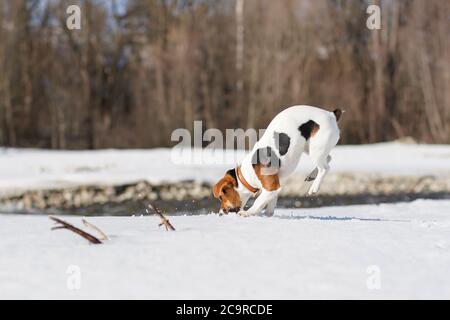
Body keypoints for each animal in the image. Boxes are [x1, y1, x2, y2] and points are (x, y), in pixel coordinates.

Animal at [211, 105, 342, 218]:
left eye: (221, 197)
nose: (220, 213)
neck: (247, 175)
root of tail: (331, 114)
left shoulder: (272, 187)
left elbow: (258, 201)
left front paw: (248, 212)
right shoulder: (274, 184)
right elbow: (270, 203)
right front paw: (267, 214)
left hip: (316, 149)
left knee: (325, 168)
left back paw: (314, 187)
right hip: (309, 148)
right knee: (328, 158)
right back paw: (312, 175)